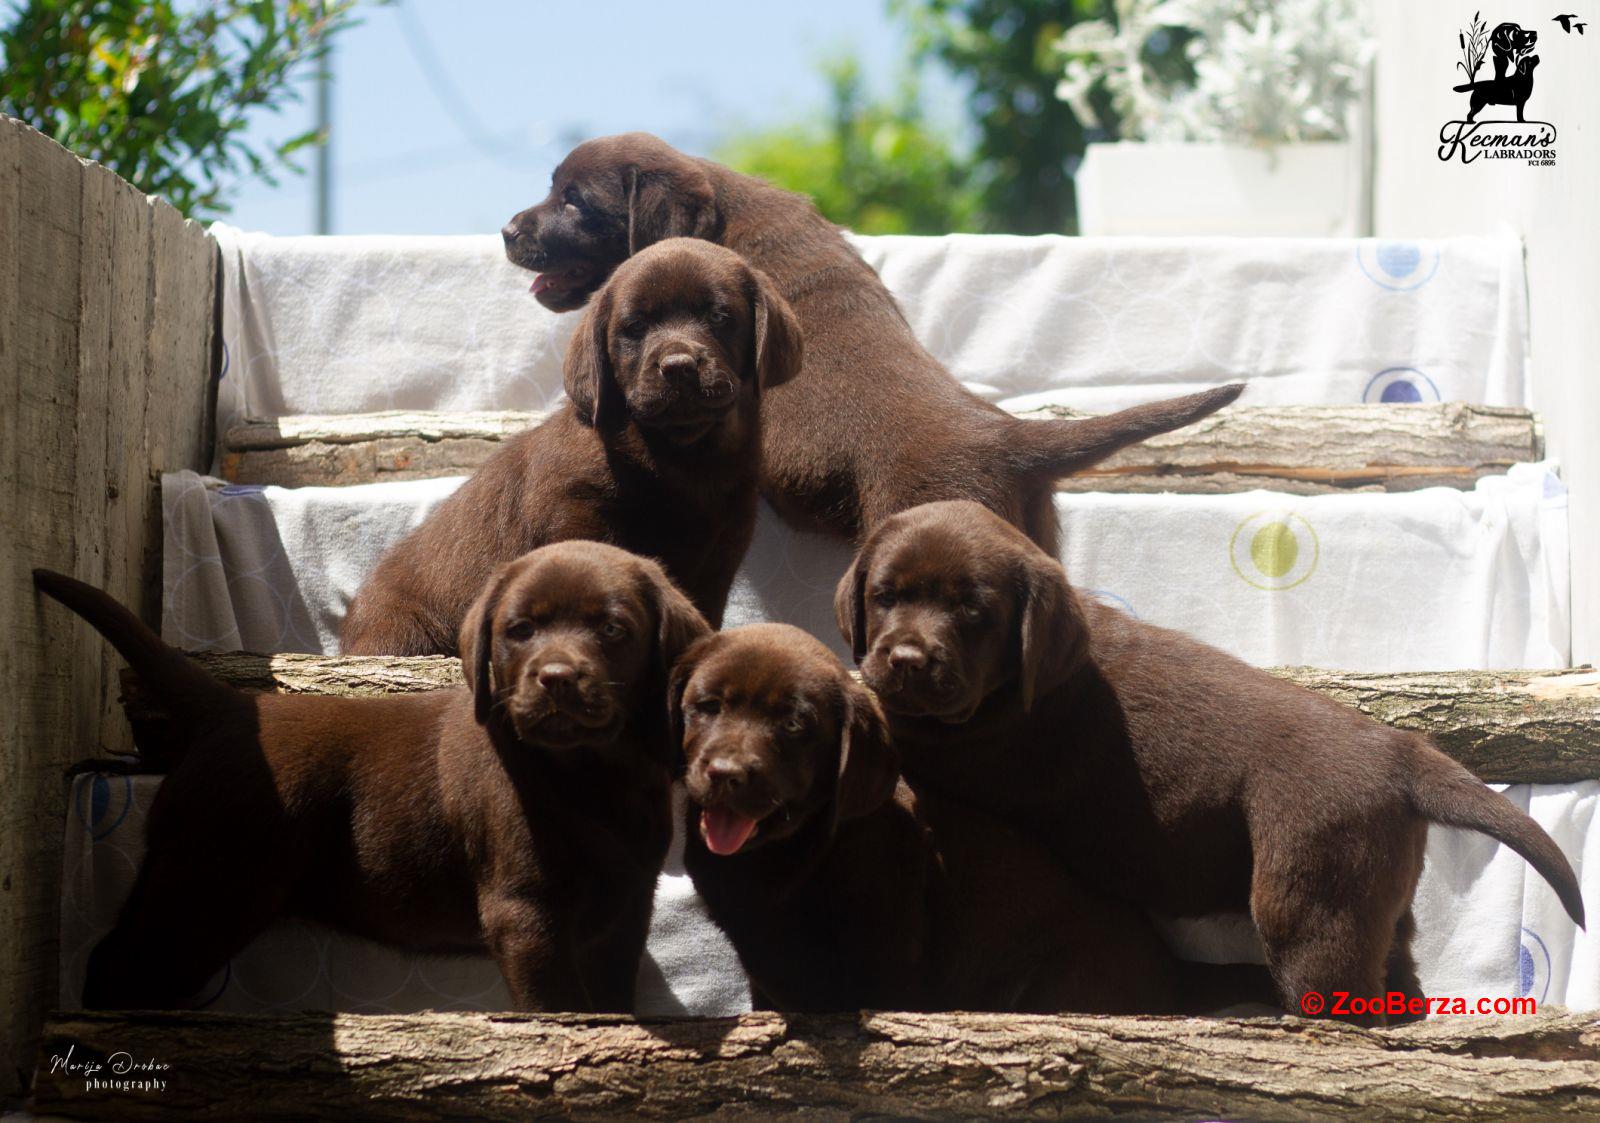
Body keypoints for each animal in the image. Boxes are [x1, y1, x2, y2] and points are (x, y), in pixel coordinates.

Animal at [29, 540, 707, 1017]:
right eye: (520, 631)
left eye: (613, 629)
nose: (558, 678)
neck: (591, 777)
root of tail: (233, 708)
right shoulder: (527, 912)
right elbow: (561, 1008)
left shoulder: (623, 910)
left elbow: (611, 1003)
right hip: (209, 883)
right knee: (117, 965)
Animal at [675, 623, 1273, 1023]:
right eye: (706, 706)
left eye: (796, 724)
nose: (726, 774)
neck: (786, 859)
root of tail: (1172, 970)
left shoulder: (887, 947)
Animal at [844, 502, 1580, 1023]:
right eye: (885, 595)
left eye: (974, 610)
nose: (906, 660)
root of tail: (1402, 753)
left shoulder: (944, 735)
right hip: (1375, 890)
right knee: (1399, 983)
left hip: (1309, 896)